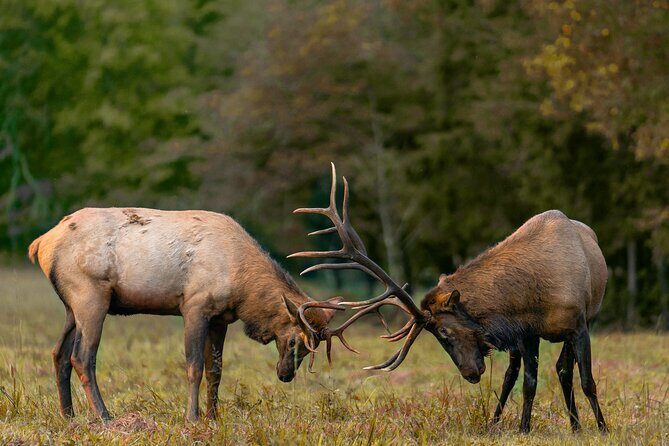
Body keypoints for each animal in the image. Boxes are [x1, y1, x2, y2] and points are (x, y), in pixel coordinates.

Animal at [28, 207, 340, 422]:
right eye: (294, 341)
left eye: (312, 346)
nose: (285, 375)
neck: (242, 287)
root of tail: (40, 244)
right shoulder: (194, 306)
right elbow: (194, 366)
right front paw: (192, 417)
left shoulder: (220, 318)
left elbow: (216, 369)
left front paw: (214, 416)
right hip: (91, 296)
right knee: (82, 357)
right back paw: (105, 417)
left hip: (72, 306)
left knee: (58, 353)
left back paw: (68, 415)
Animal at [290, 164, 608, 434]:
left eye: (444, 331)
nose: (470, 373)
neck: (537, 292)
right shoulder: (527, 332)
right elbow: (529, 382)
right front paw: (523, 429)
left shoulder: (578, 325)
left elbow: (587, 380)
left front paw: (602, 428)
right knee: (514, 374)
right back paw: (504, 422)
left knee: (563, 370)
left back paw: (577, 425)